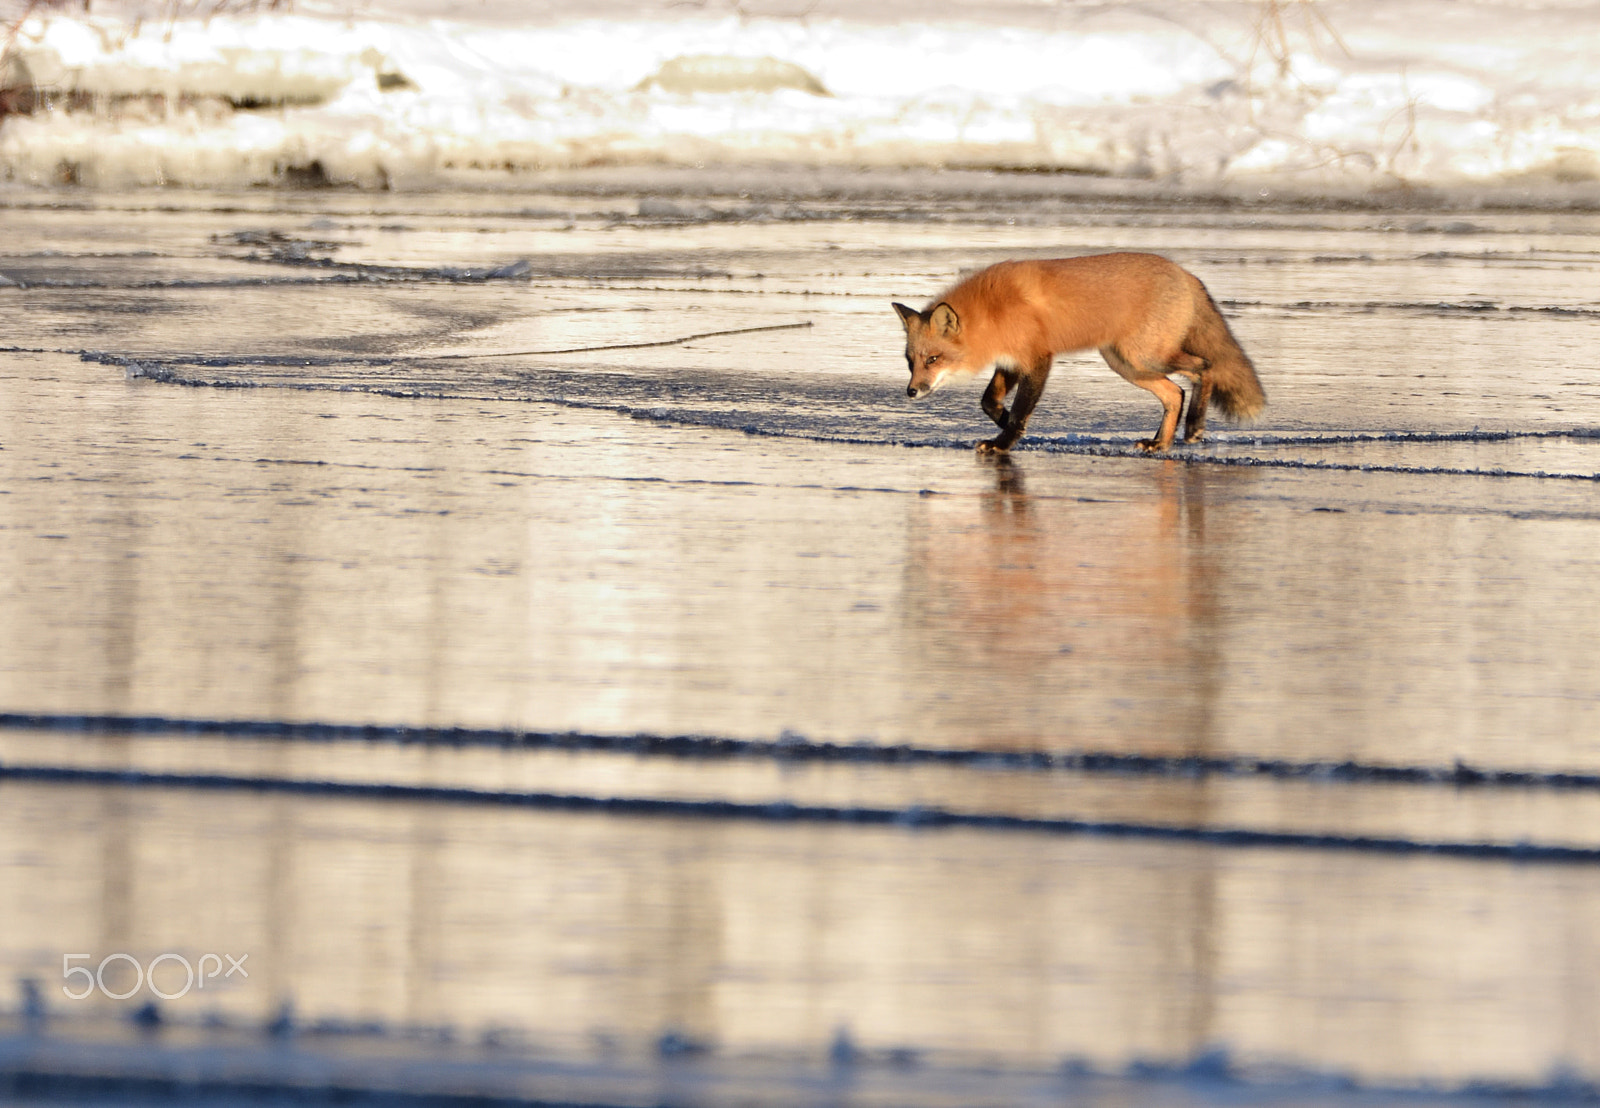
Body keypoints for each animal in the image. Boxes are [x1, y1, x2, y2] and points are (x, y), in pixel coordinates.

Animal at [902, 252, 1260, 451]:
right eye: (910, 362)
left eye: (933, 359)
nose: (911, 392)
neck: (993, 310)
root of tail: (1185, 273)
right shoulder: (1011, 361)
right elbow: (989, 402)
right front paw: (1010, 427)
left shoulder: (1037, 359)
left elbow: (1019, 410)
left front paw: (1004, 442)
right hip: (1127, 364)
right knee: (1174, 393)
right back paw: (1160, 443)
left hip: (1144, 357)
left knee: (1205, 367)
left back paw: (1194, 427)